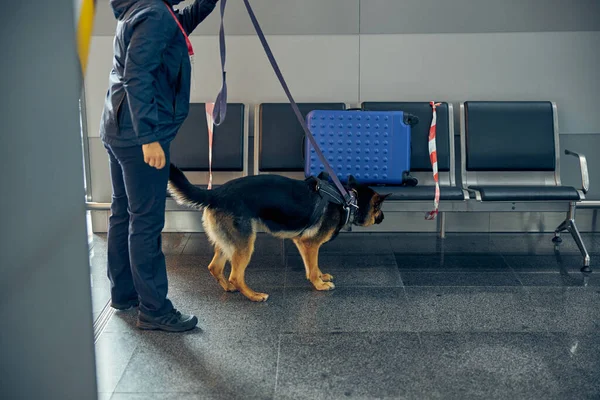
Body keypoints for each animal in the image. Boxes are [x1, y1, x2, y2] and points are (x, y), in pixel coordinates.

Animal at [166, 164, 392, 302]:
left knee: (214, 267)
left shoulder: (302, 243)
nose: (383, 218)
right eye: (379, 209)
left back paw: (229, 288)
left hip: (230, 243)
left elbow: (313, 265)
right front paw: (319, 284)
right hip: (245, 244)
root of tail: (215, 193)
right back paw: (254, 295)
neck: (349, 199)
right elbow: (311, 268)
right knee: (236, 276)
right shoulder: (310, 244)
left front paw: (321, 275)